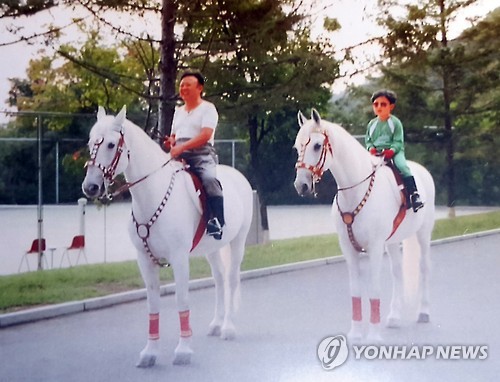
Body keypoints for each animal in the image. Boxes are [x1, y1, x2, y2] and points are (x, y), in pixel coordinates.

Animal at [83, 106, 254, 368]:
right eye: (91, 142)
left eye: (111, 145)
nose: (90, 187)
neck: (153, 194)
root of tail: (238, 176)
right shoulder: (144, 259)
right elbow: (152, 304)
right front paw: (149, 353)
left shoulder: (179, 258)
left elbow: (181, 300)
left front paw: (183, 350)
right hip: (213, 249)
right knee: (219, 279)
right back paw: (216, 324)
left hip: (238, 242)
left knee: (232, 279)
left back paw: (228, 327)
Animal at [292, 109, 434, 342]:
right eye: (297, 147)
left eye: (317, 145)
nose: (301, 185)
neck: (355, 190)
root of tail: (421, 170)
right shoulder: (348, 249)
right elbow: (355, 290)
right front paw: (356, 333)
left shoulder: (375, 248)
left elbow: (374, 289)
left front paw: (374, 336)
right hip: (392, 242)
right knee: (397, 271)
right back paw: (394, 317)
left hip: (423, 234)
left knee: (424, 267)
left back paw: (424, 312)